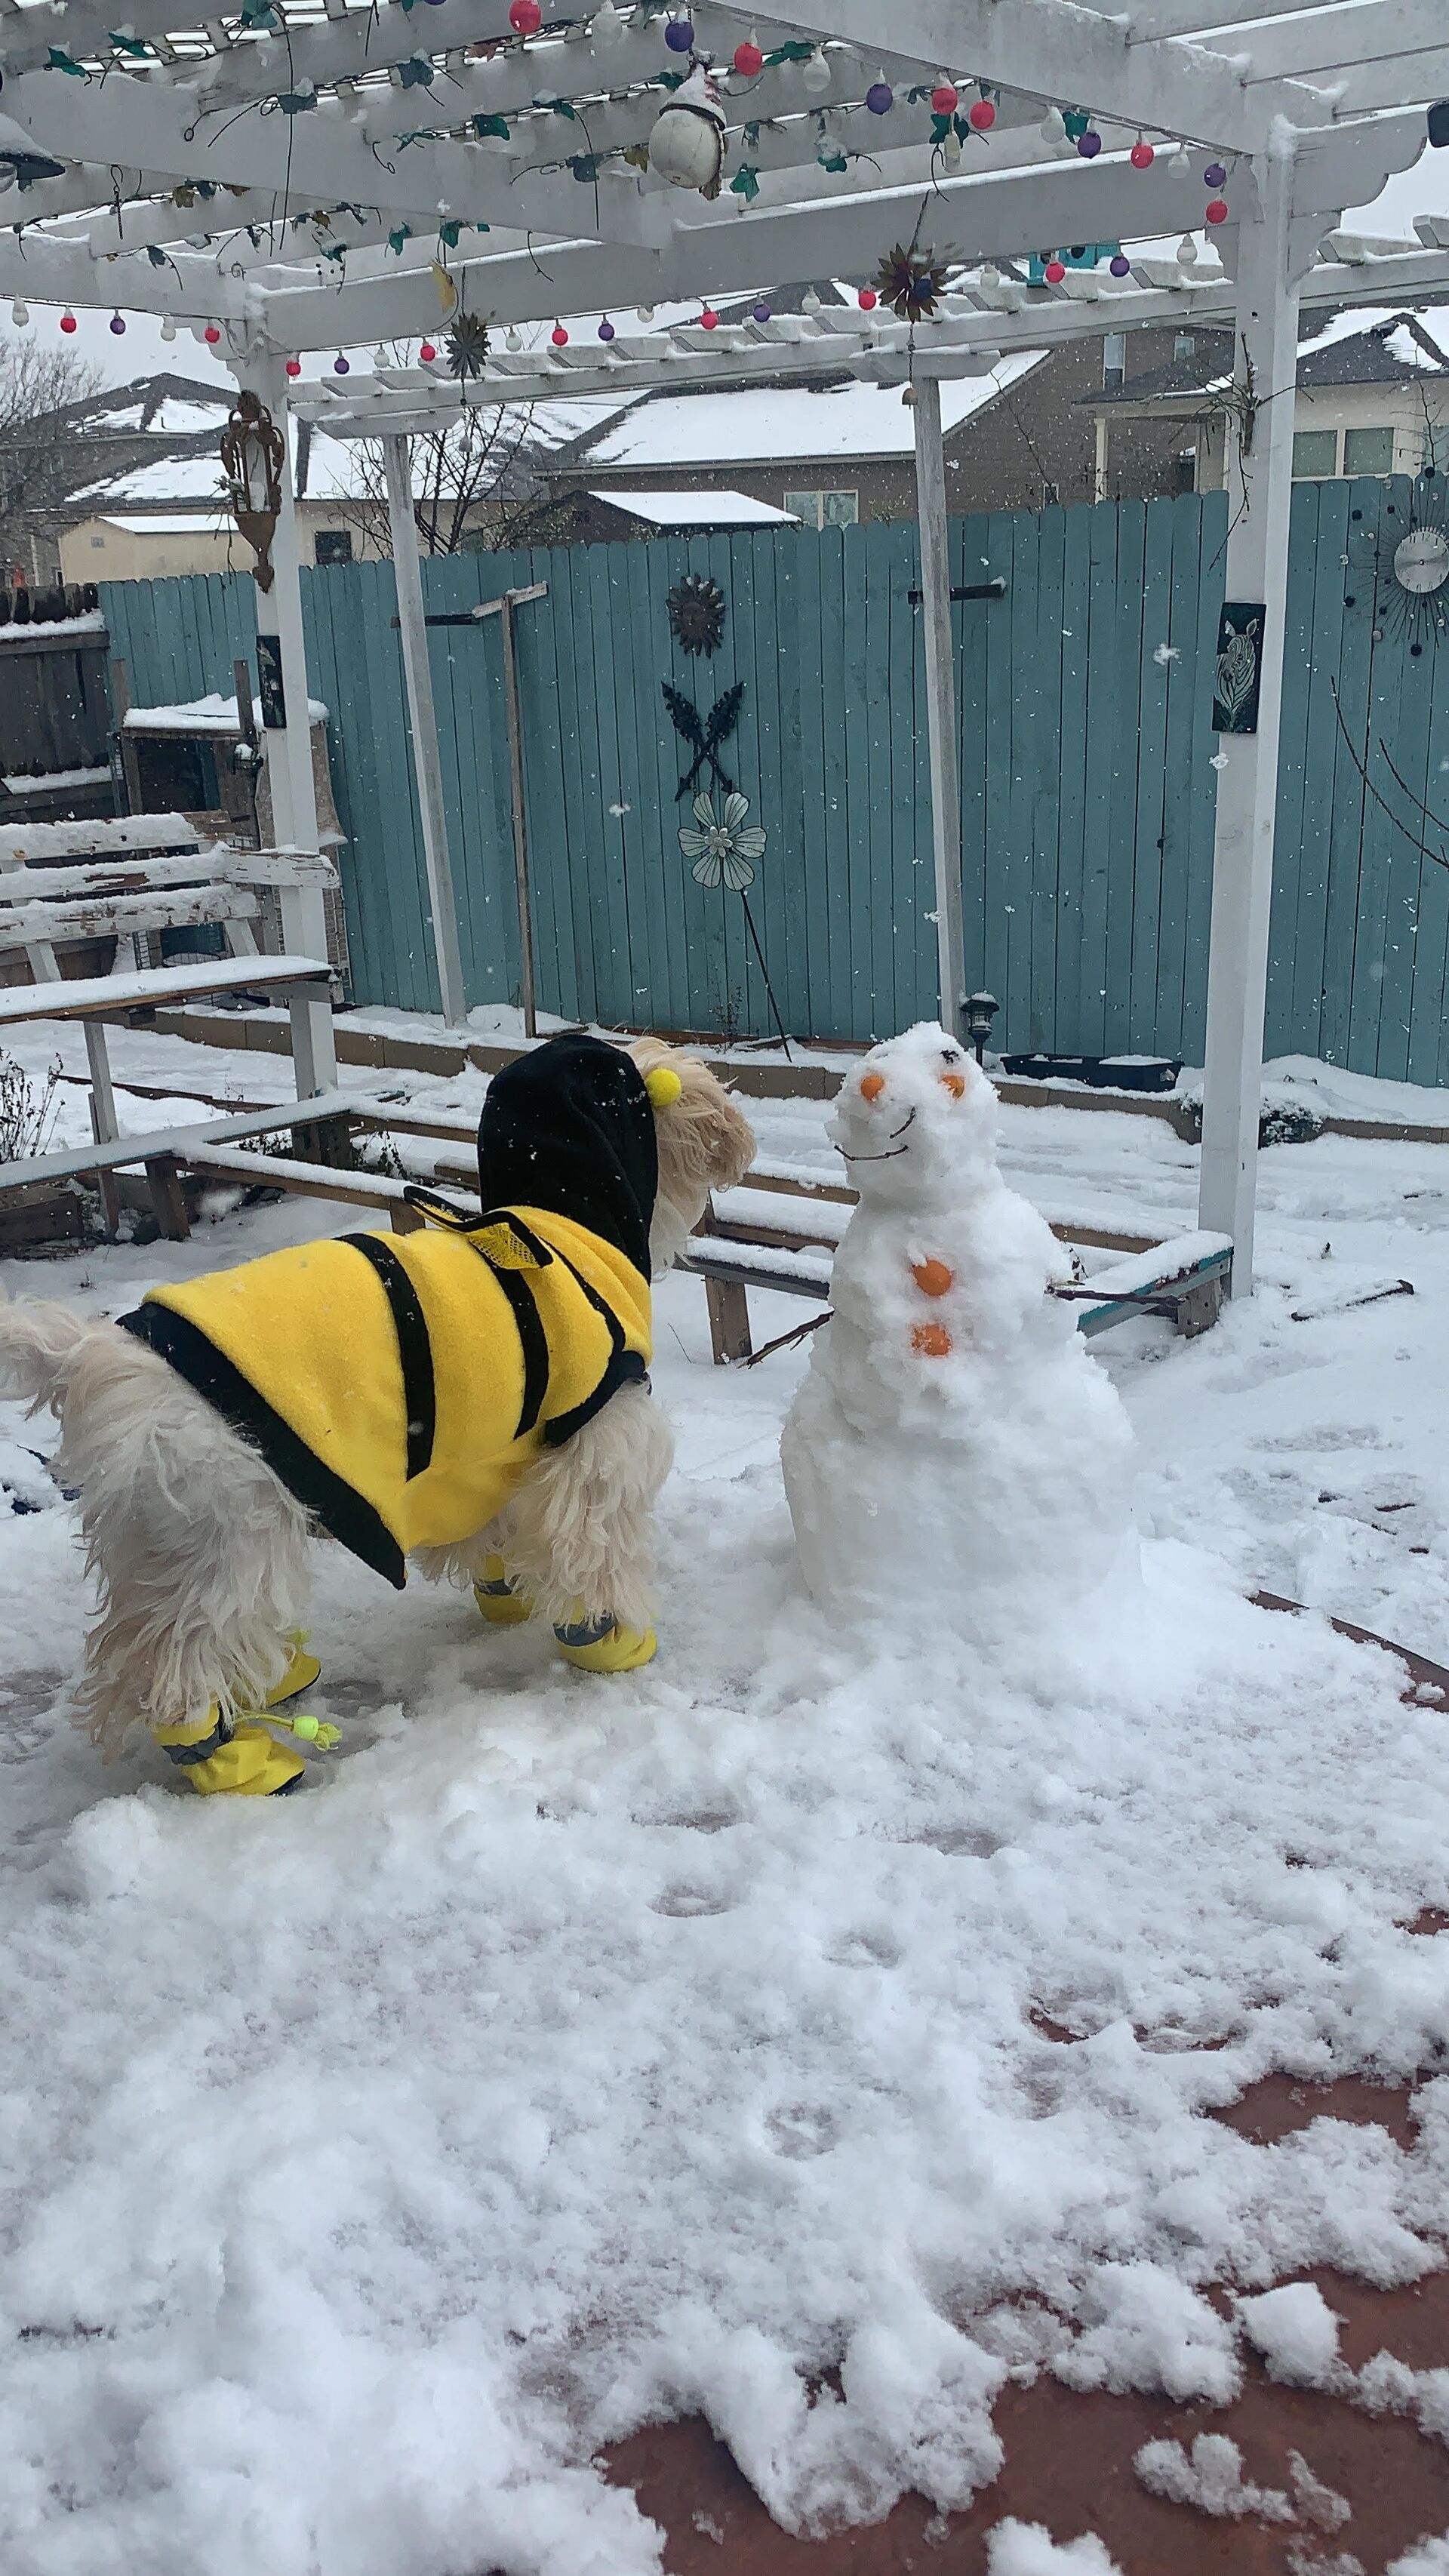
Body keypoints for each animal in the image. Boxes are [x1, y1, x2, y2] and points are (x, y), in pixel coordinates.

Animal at [0, 1025, 756, 1793]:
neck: (562, 1219)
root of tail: (96, 1353)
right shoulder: (598, 1438)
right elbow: (595, 1552)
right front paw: (613, 1641)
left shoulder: (485, 1454)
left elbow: (496, 1530)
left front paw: (508, 1594)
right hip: (235, 1534)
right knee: (175, 1667)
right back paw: (244, 1762)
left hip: (157, 1535)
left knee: (132, 1643)